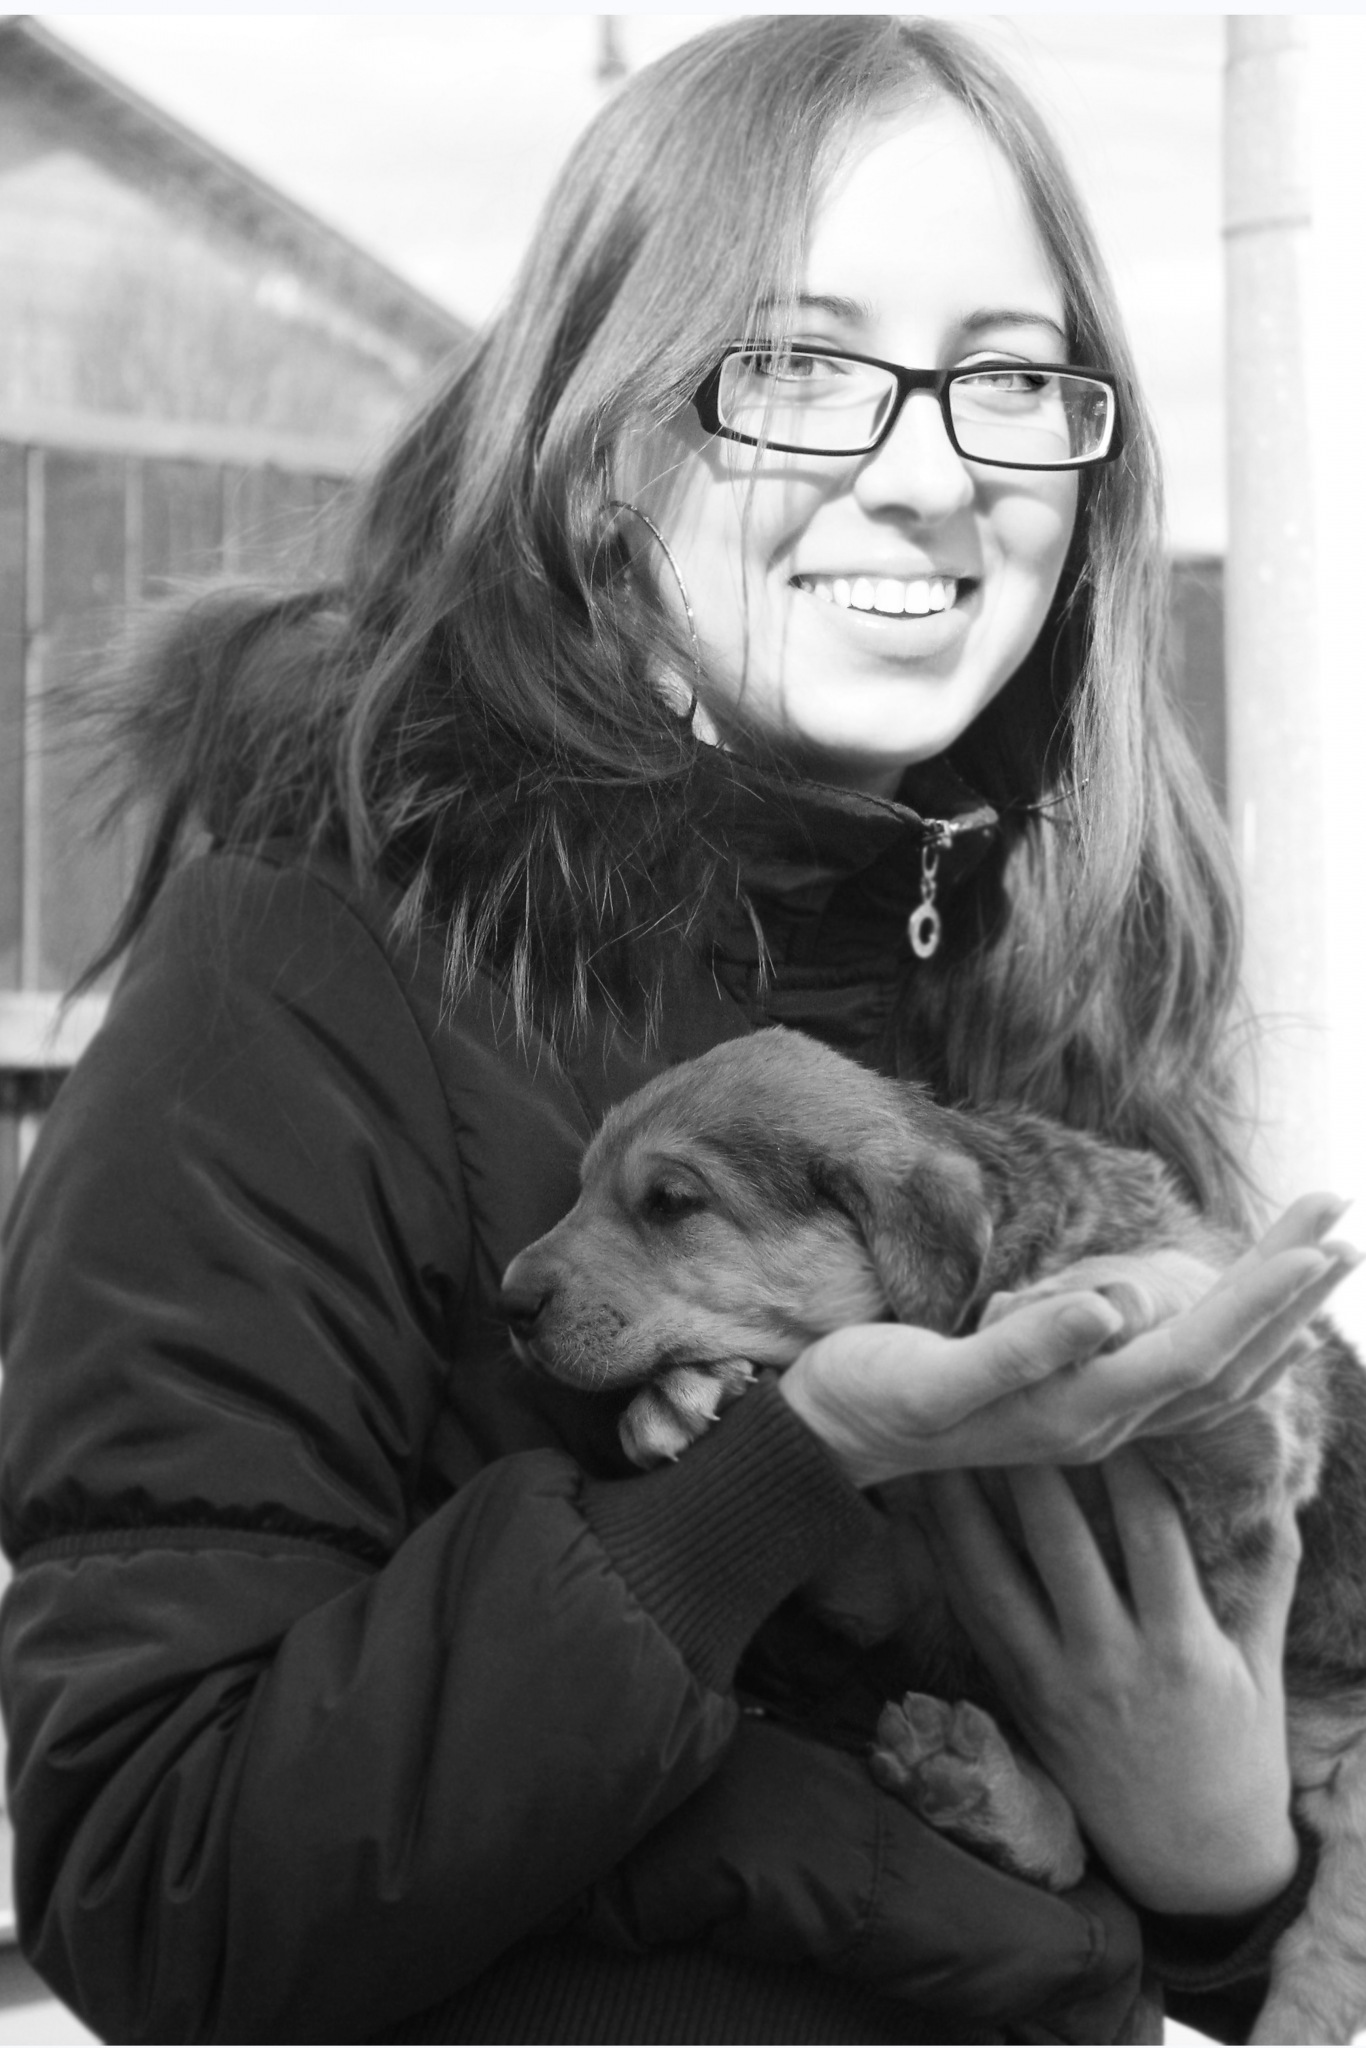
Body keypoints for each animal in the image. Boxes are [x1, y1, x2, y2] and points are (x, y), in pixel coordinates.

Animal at [499, 1027, 1366, 2045]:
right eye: (581, 1187)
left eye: (672, 1201)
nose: (508, 1301)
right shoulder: (907, 1576)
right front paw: (689, 1392)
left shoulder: (1250, 1468)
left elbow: (1182, 1307)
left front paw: (1104, 1293)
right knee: (1080, 1854)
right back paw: (977, 1785)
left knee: (1311, 1953)